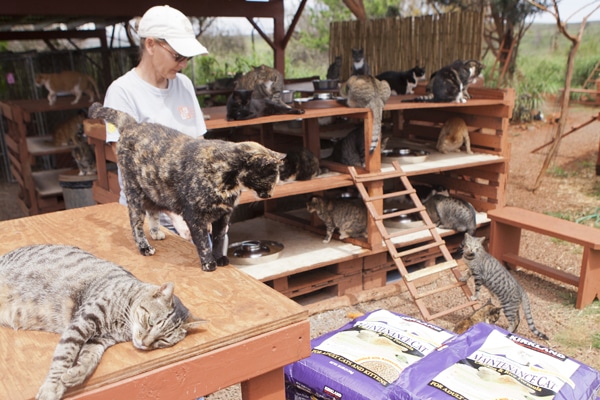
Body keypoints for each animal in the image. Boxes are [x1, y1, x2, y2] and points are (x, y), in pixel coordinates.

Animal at [0, 244, 206, 400]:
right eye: (150, 322)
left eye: (162, 340)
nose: (145, 343)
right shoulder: (82, 322)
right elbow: (64, 356)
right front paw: (52, 387)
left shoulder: (98, 340)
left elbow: (89, 359)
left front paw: (75, 375)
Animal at [89, 102, 286, 272]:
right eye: (271, 179)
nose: (269, 195)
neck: (228, 180)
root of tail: (133, 125)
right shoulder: (194, 217)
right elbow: (204, 242)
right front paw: (209, 263)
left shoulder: (223, 216)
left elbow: (218, 239)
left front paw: (219, 258)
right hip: (134, 192)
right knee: (135, 222)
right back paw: (145, 247)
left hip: (153, 190)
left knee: (152, 211)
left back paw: (156, 233)